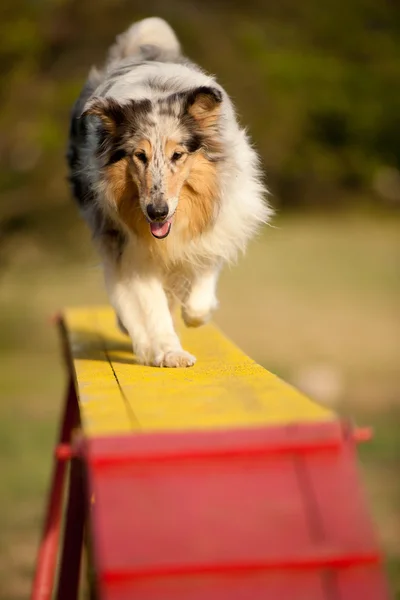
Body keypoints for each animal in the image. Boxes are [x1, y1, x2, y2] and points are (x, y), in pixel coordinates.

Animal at [67, 16, 270, 368]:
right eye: (140, 156)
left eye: (178, 155)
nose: (157, 212)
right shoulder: (131, 248)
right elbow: (150, 306)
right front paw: (168, 351)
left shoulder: (216, 227)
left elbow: (200, 284)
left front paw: (194, 313)